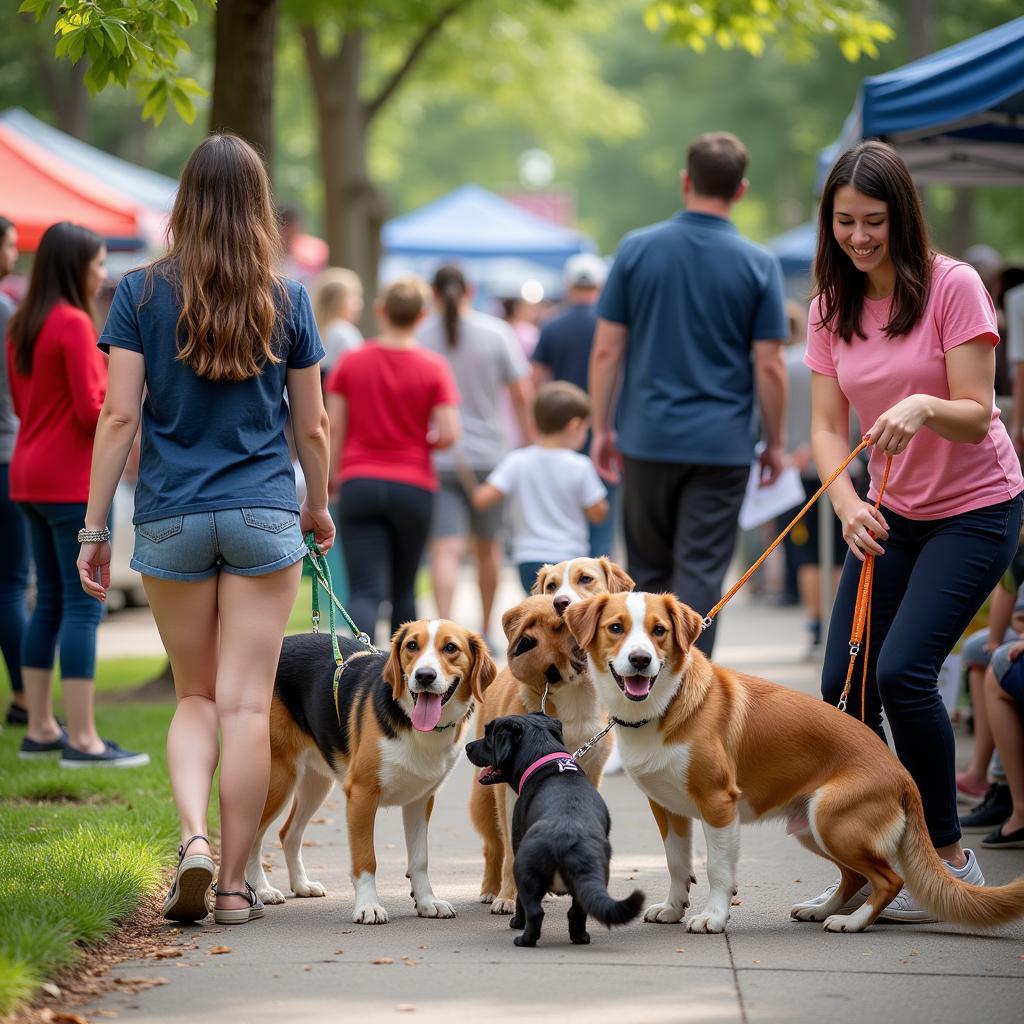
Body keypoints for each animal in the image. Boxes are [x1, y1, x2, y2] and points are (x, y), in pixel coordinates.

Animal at [247, 618, 495, 925]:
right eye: (412, 645)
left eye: (450, 648)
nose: (424, 676)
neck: (411, 721)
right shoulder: (362, 795)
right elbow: (366, 859)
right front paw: (368, 907)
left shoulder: (419, 801)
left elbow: (420, 859)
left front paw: (427, 902)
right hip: (279, 778)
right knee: (253, 837)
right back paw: (262, 890)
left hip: (316, 784)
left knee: (288, 833)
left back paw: (301, 885)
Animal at [464, 712, 638, 942]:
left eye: (488, 735)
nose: (467, 747)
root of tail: (566, 839)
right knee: (576, 911)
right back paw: (580, 937)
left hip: (525, 868)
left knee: (534, 911)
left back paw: (523, 938)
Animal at [471, 561, 630, 913]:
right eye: (552, 585)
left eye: (586, 579)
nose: (561, 602)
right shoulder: (509, 793)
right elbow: (510, 850)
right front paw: (508, 896)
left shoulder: (590, 773)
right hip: (483, 799)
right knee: (492, 846)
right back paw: (491, 888)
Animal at [565, 593, 1024, 937]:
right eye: (616, 628)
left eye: (658, 631)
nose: (641, 660)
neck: (666, 706)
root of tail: (902, 773)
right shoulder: (667, 808)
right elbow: (678, 863)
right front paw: (674, 908)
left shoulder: (718, 804)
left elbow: (717, 868)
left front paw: (713, 917)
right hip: (812, 828)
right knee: (857, 877)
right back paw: (821, 911)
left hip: (833, 820)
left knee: (887, 879)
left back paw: (852, 922)